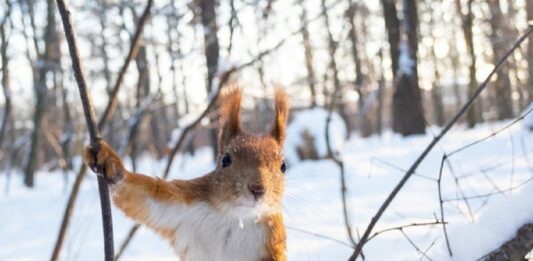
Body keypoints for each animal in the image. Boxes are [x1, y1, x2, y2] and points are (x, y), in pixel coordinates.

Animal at [85, 88, 288, 260]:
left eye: (283, 166)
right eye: (225, 160)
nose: (257, 189)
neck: (238, 217)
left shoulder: (273, 241)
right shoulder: (183, 206)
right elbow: (143, 197)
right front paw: (110, 163)